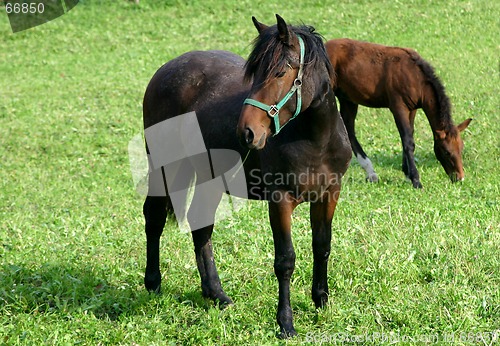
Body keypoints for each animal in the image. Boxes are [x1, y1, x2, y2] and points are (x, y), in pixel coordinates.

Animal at [143, 14, 350, 338]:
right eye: (253, 75)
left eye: (280, 72)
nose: (247, 132)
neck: (316, 140)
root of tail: (165, 69)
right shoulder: (280, 201)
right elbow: (285, 260)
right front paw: (285, 322)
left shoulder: (329, 195)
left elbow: (322, 246)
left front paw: (321, 301)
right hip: (163, 166)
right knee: (154, 217)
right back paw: (153, 283)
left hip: (209, 178)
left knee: (201, 226)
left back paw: (216, 294)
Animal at [324, 38, 472, 188]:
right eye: (447, 152)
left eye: (461, 148)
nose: (459, 178)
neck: (416, 78)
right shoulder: (398, 107)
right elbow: (408, 141)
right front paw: (415, 179)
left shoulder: (412, 109)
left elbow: (408, 136)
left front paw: (407, 173)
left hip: (348, 99)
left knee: (349, 129)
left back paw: (370, 172)